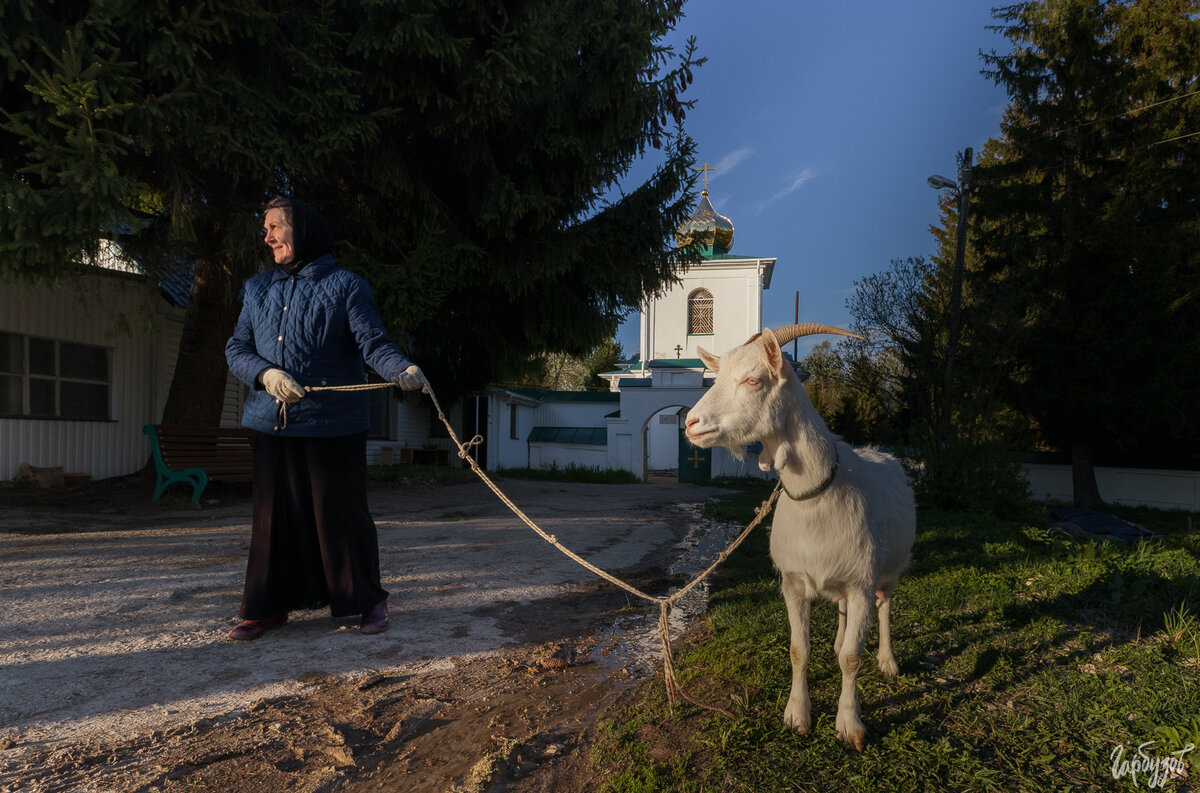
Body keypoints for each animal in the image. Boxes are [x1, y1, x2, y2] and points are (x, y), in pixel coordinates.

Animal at [691, 323, 912, 753]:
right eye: (716, 377)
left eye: (753, 379)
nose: (691, 423)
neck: (816, 496)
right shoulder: (793, 583)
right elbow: (798, 650)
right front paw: (797, 715)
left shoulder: (861, 584)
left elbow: (852, 659)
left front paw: (850, 725)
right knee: (842, 614)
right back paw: (840, 640)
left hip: (889, 572)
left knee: (885, 607)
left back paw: (889, 661)